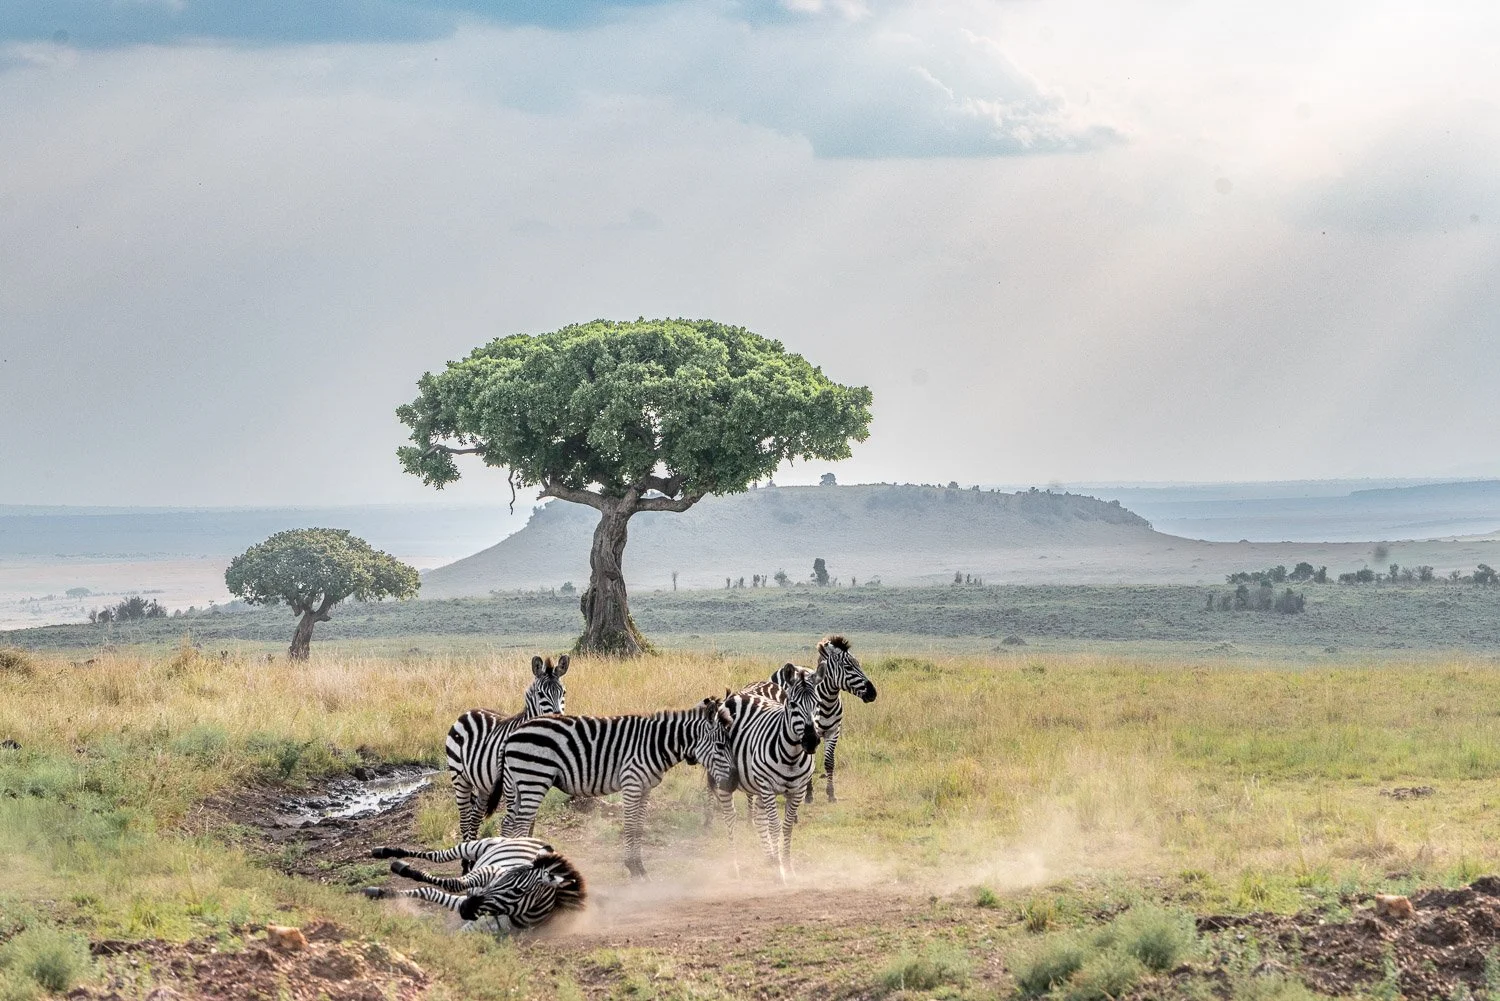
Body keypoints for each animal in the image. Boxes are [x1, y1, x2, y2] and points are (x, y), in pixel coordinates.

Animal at [362, 838, 585, 933]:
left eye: (518, 891)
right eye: (503, 878)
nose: (466, 908)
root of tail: (535, 840)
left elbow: (429, 892)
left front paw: (380, 892)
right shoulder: (491, 872)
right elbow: (453, 883)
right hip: (474, 846)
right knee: (437, 856)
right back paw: (387, 853)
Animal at [445, 654, 569, 855]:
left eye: (563, 692)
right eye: (541, 694)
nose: (558, 719)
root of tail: (468, 711)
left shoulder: (535, 783)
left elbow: (530, 823)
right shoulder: (511, 786)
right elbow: (510, 823)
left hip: (484, 785)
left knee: (475, 818)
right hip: (459, 777)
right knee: (464, 820)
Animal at [497, 697, 736, 878]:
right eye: (720, 746)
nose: (732, 782)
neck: (656, 744)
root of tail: (513, 733)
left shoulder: (645, 788)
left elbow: (639, 828)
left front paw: (640, 868)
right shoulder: (632, 784)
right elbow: (629, 827)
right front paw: (633, 868)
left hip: (519, 782)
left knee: (509, 823)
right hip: (534, 778)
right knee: (521, 825)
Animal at [716, 664, 821, 881]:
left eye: (817, 703)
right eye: (792, 704)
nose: (811, 741)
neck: (791, 757)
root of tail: (736, 695)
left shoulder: (797, 790)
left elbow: (787, 827)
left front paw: (786, 866)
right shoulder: (768, 787)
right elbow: (775, 826)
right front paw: (781, 873)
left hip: (757, 785)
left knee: (759, 818)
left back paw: (770, 859)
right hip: (726, 778)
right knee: (730, 817)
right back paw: (735, 866)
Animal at [740, 635, 876, 803]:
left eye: (858, 664)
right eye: (848, 667)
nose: (873, 693)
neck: (827, 703)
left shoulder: (833, 731)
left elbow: (829, 762)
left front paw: (831, 793)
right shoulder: (808, 733)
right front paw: (809, 794)